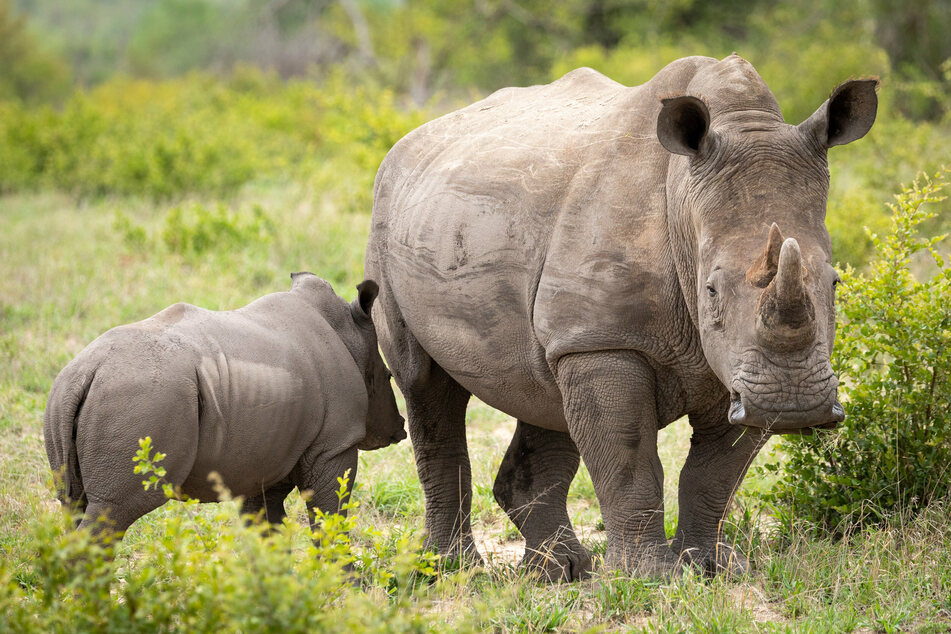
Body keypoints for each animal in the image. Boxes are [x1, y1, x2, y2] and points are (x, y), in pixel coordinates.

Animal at [44, 273, 406, 537]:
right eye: (389, 376)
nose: (400, 429)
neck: (348, 334)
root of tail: (87, 371)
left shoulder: (265, 455)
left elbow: (266, 529)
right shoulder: (333, 445)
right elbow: (330, 517)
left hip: (64, 399)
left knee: (73, 506)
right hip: (138, 400)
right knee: (112, 513)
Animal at [365, 54, 877, 579]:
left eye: (836, 283)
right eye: (710, 289)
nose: (794, 404)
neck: (684, 200)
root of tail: (406, 142)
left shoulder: (736, 369)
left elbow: (715, 473)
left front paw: (708, 568)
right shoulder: (605, 340)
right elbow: (629, 458)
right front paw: (649, 578)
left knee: (544, 392)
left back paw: (559, 572)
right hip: (389, 220)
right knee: (424, 384)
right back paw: (452, 570)